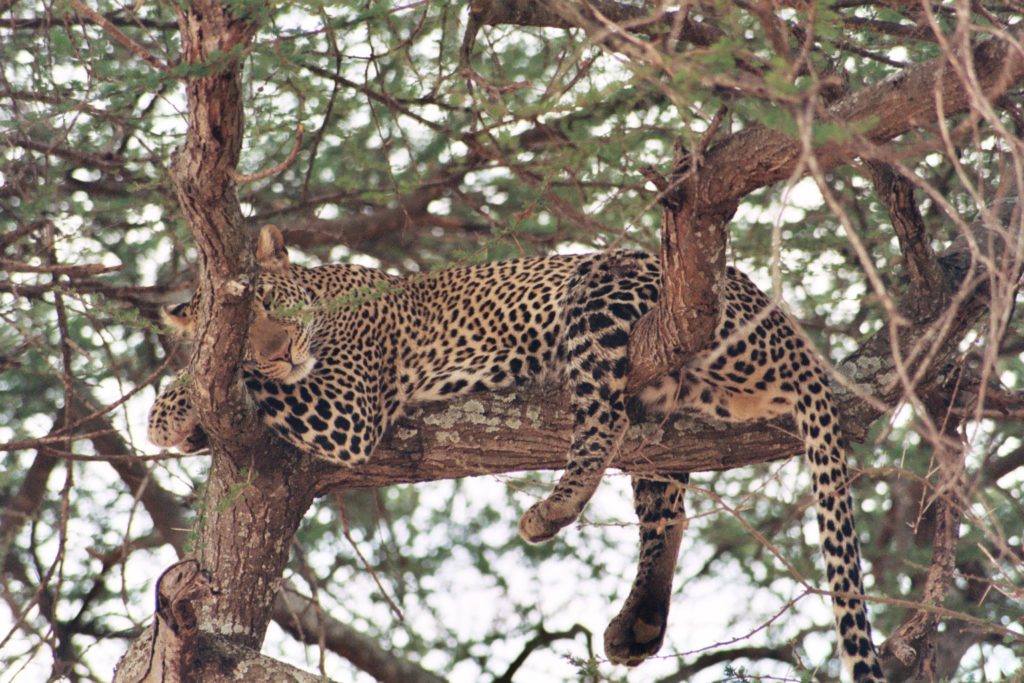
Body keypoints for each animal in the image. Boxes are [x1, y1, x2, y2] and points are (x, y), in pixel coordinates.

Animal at [149, 225, 888, 683]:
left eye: (273, 305)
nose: (280, 352)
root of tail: (790, 332)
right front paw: (187, 405)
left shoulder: (348, 410)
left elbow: (250, 388)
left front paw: (172, 405)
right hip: (667, 417)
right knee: (665, 506)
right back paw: (640, 622)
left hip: (604, 290)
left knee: (599, 422)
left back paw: (552, 510)